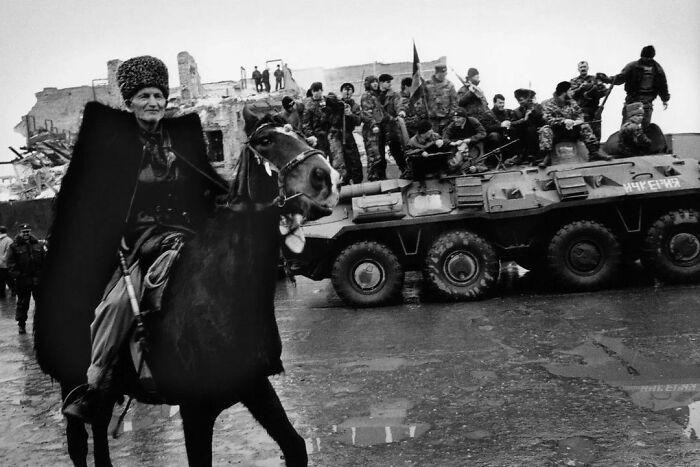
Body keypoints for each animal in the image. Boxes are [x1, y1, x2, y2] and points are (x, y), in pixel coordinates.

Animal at [37, 110, 340, 467]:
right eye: (266, 140)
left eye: (304, 135)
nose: (326, 177)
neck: (222, 292)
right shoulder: (195, 411)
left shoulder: (254, 386)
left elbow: (295, 446)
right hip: (71, 378)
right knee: (79, 443)